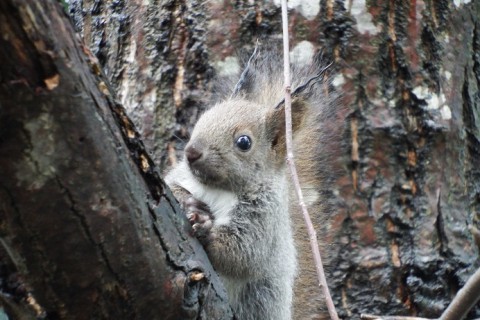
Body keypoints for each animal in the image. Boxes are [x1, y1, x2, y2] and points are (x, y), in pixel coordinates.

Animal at [165, 50, 338, 320]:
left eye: (244, 142)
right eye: (203, 118)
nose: (192, 152)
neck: (220, 188)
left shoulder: (265, 217)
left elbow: (245, 251)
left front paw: (204, 226)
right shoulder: (181, 176)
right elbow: (171, 186)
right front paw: (190, 203)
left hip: (261, 297)